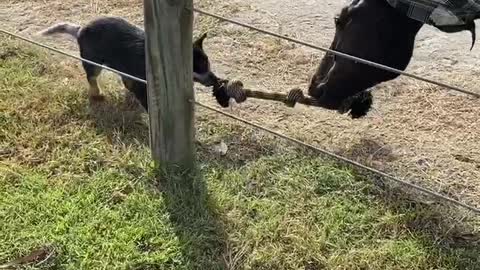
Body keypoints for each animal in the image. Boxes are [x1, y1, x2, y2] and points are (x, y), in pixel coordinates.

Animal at [41, 16, 218, 110]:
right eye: (198, 67)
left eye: (208, 63)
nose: (216, 80)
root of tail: (79, 30)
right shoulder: (143, 84)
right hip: (92, 61)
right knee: (91, 78)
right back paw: (98, 95)